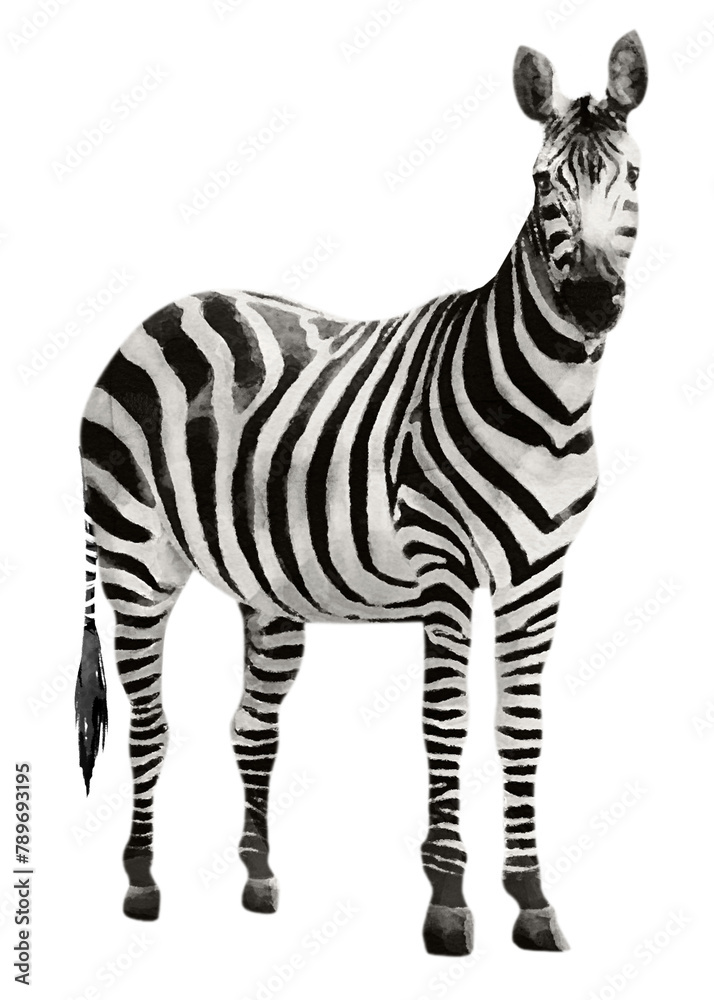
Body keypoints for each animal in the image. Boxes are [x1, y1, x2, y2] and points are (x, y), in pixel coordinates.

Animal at [74, 31, 647, 953]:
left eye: (633, 175)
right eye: (539, 183)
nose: (592, 299)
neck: (552, 403)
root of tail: (164, 309)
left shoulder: (540, 577)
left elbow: (520, 730)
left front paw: (531, 900)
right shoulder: (446, 565)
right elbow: (444, 723)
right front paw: (447, 903)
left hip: (266, 589)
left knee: (251, 726)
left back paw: (258, 879)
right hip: (134, 557)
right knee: (150, 723)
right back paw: (141, 884)